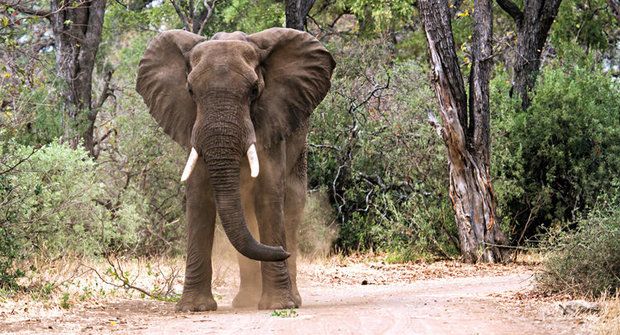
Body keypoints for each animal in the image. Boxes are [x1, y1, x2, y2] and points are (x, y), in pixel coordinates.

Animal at [136, 27, 334, 314]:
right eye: (190, 91)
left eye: (254, 90)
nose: (280, 250)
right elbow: (199, 198)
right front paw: (194, 308)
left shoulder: (272, 121)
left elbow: (269, 196)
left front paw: (278, 305)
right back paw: (246, 301)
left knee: (292, 207)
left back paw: (290, 299)